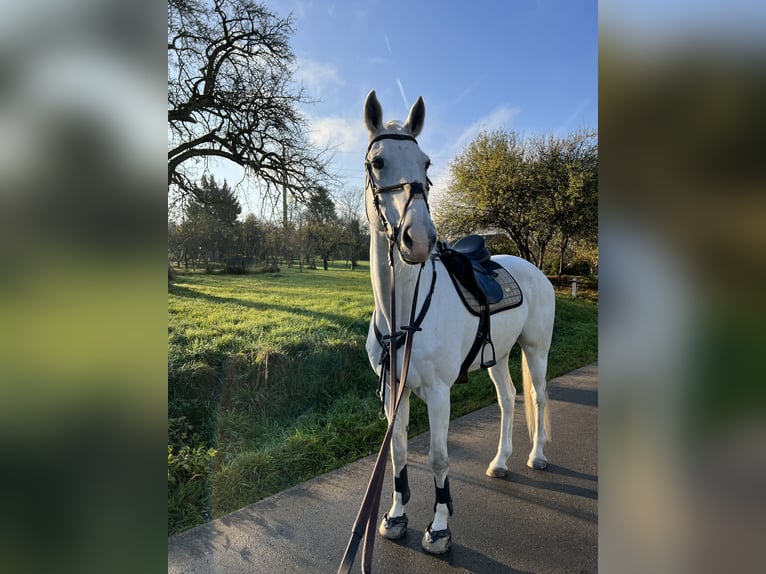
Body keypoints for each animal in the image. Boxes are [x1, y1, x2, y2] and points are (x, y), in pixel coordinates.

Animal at [362, 90, 556, 554]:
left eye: (427, 163)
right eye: (378, 161)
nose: (419, 239)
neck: (403, 314)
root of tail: (534, 269)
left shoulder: (438, 393)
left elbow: (438, 457)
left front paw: (439, 528)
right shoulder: (394, 392)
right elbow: (398, 452)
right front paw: (396, 516)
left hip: (536, 350)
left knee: (538, 397)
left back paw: (537, 456)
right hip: (499, 358)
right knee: (508, 400)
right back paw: (500, 461)